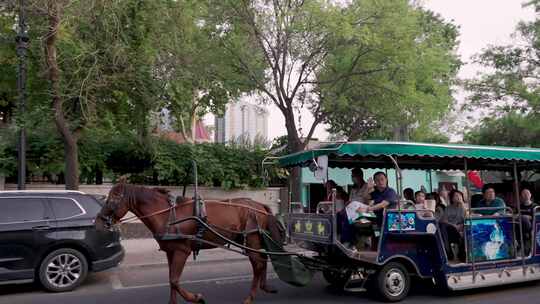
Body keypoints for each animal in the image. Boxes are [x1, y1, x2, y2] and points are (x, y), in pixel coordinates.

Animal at [95, 182, 284, 302]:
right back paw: (264, 286)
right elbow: (171, 281)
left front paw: (196, 298)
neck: (167, 214)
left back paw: (250, 297)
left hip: (250, 241)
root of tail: (260, 205)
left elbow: (175, 281)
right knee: (262, 261)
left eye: (113, 199)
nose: (97, 222)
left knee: (258, 265)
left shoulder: (181, 251)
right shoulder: (170, 252)